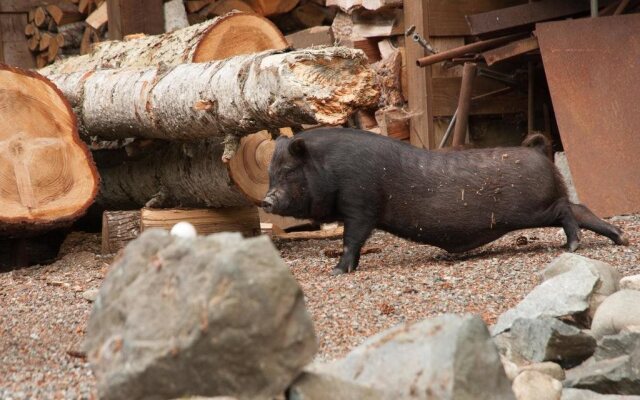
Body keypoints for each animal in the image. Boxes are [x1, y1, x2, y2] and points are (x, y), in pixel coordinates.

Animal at [262, 128, 628, 276]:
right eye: (270, 172)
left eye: (289, 171)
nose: (266, 201)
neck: (330, 168)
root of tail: (538, 150)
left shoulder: (361, 203)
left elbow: (352, 239)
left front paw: (336, 271)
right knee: (580, 208)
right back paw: (619, 239)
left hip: (535, 208)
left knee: (568, 210)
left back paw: (572, 247)